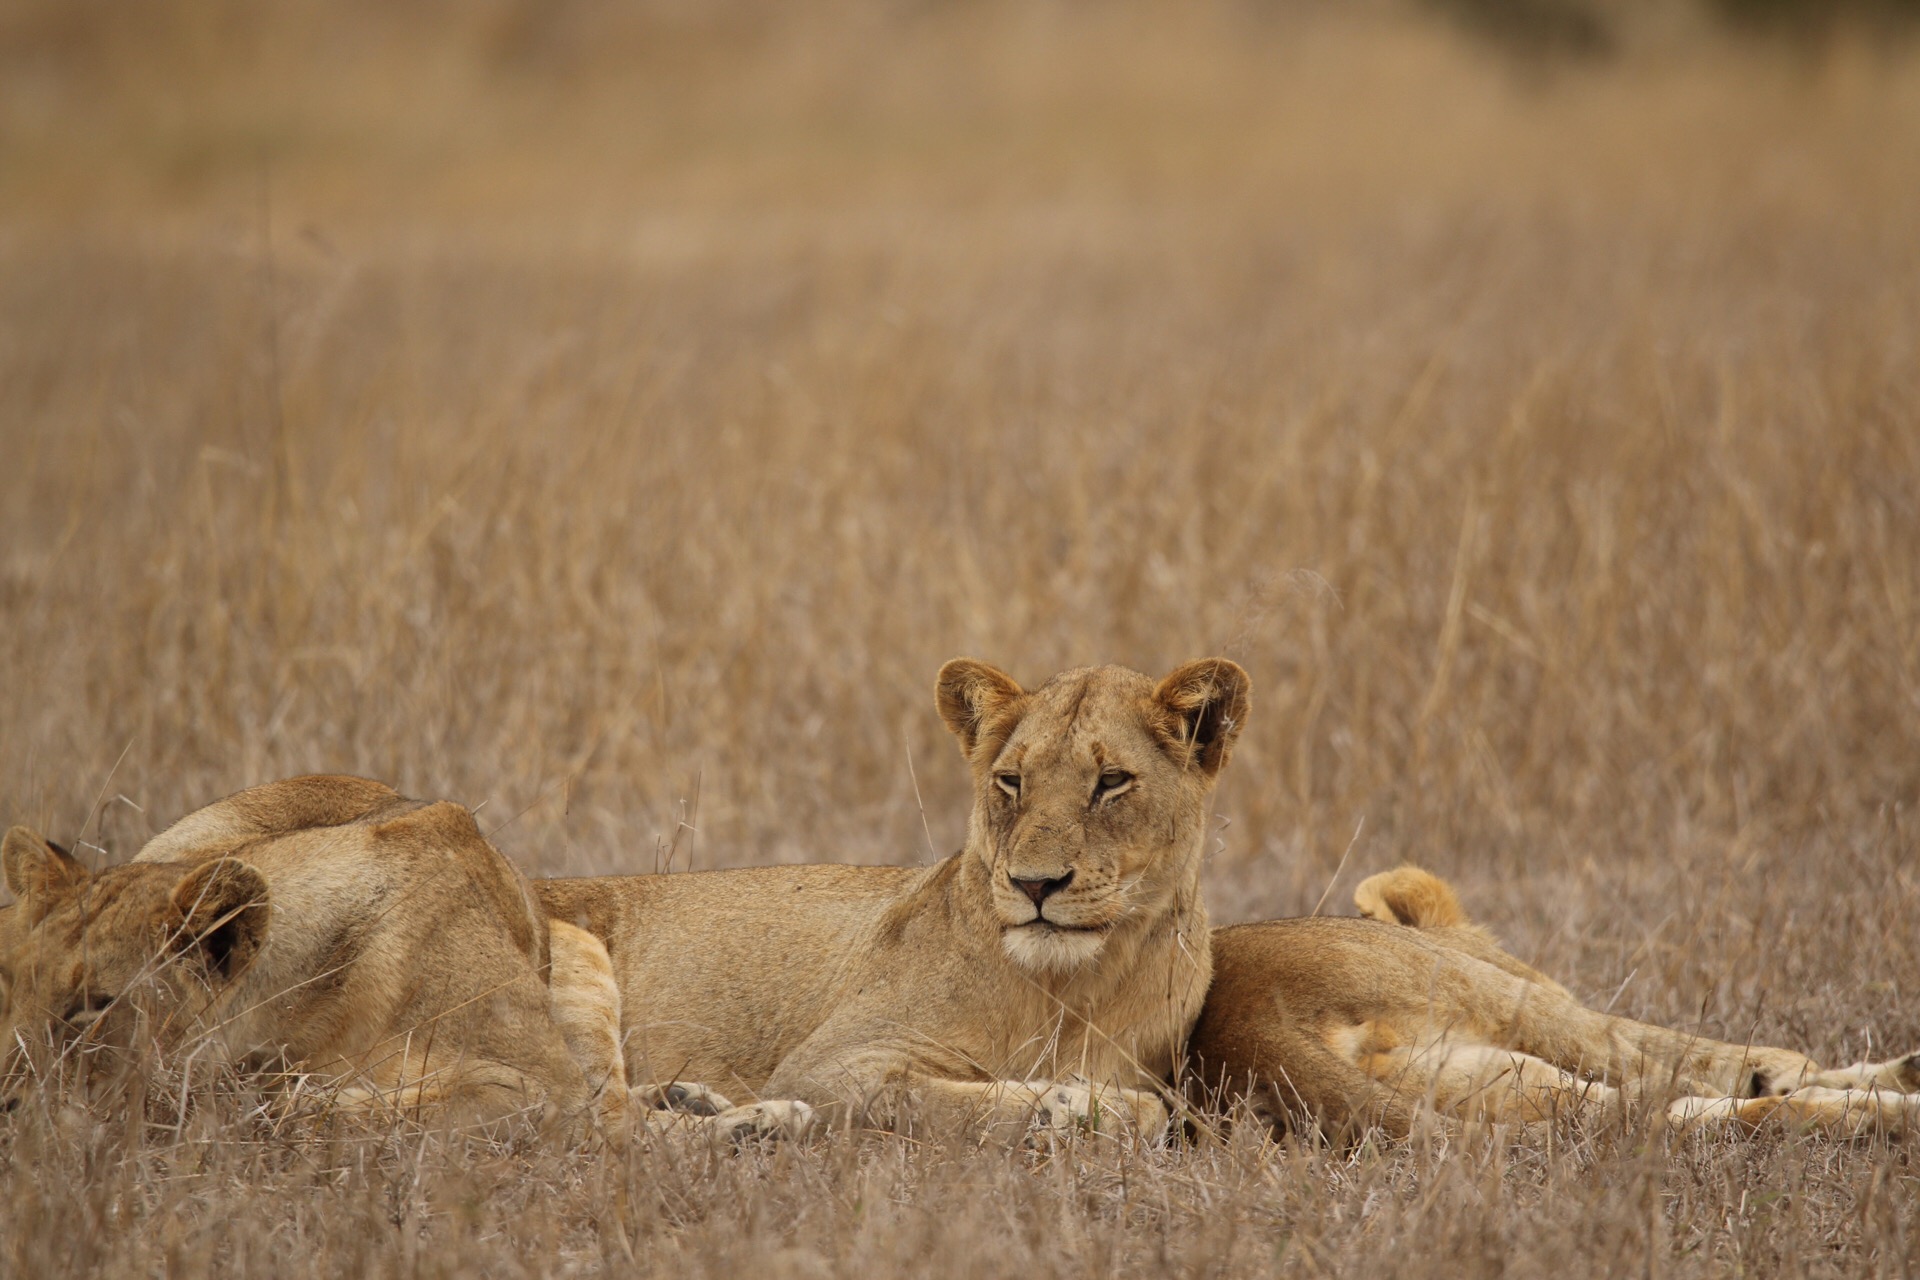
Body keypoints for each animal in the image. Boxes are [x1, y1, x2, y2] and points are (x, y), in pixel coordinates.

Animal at [533, 660, 1251, 1143]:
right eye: (1011, 781)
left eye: (1112, 782)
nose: (1034, 885)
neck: (1065, 990)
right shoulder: (824, 1067)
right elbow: (939, 1099)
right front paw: (1063, 1105)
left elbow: (1146, 1111)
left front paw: (1083, 1105)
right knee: (589, 1122)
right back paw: (756, 1125)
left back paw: (695, 1100)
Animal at [1190, 867, 1912, 1143]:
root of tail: (1244, 1024)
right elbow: (1732, 1056)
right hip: (1518, 1007)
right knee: (1676, 1093)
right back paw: (1894, 1111)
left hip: (1489, 1082)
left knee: (1652, 1117)